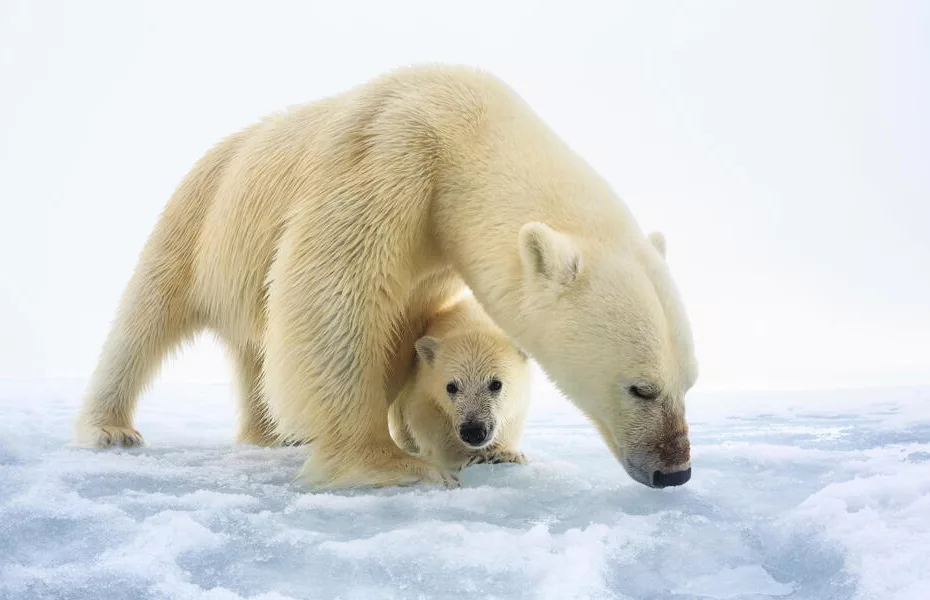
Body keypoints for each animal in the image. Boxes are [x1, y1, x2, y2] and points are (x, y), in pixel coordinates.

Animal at [386, 292, 528, 472]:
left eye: (496, 384)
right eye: (451, 387)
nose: (473, 432)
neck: (472, 321)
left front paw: (507, 454)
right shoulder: (425, 385)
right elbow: (429, 422)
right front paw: (468, 458)